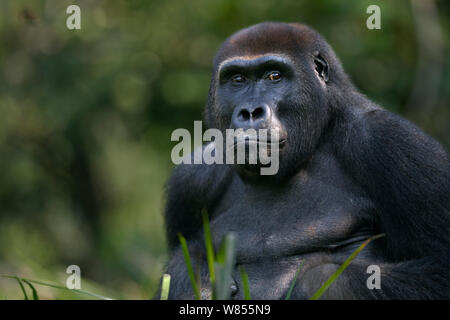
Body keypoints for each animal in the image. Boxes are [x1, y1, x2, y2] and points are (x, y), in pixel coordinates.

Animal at [160, 22, 448, 300]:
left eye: (274, 76)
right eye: (237, 79)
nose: (250, 112)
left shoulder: (390, 141)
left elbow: (438, 268)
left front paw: (314, 284)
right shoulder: (192, 178)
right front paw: (196, 279)